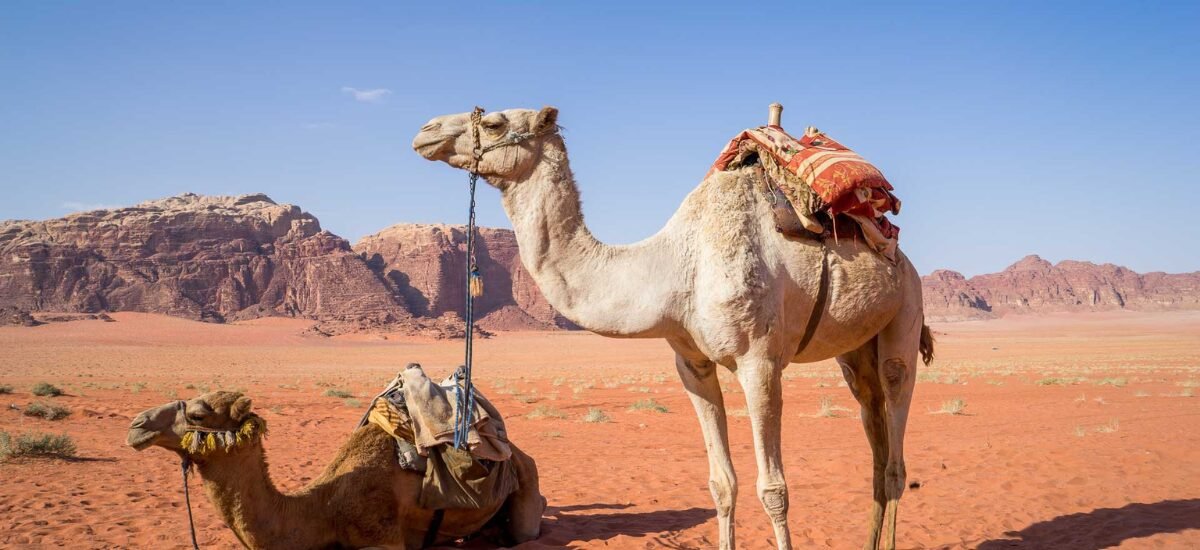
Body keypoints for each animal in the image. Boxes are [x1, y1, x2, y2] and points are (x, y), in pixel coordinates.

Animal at [412, 107, 933, 550]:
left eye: (495, 123)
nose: (426, 131)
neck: (675, 268)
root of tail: (900, 255)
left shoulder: (759, 362)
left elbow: (774, 489)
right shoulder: (692, 363)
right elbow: (722, 484)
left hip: (905, 312)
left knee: (894, 447)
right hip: (855, 351)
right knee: (873, 431)